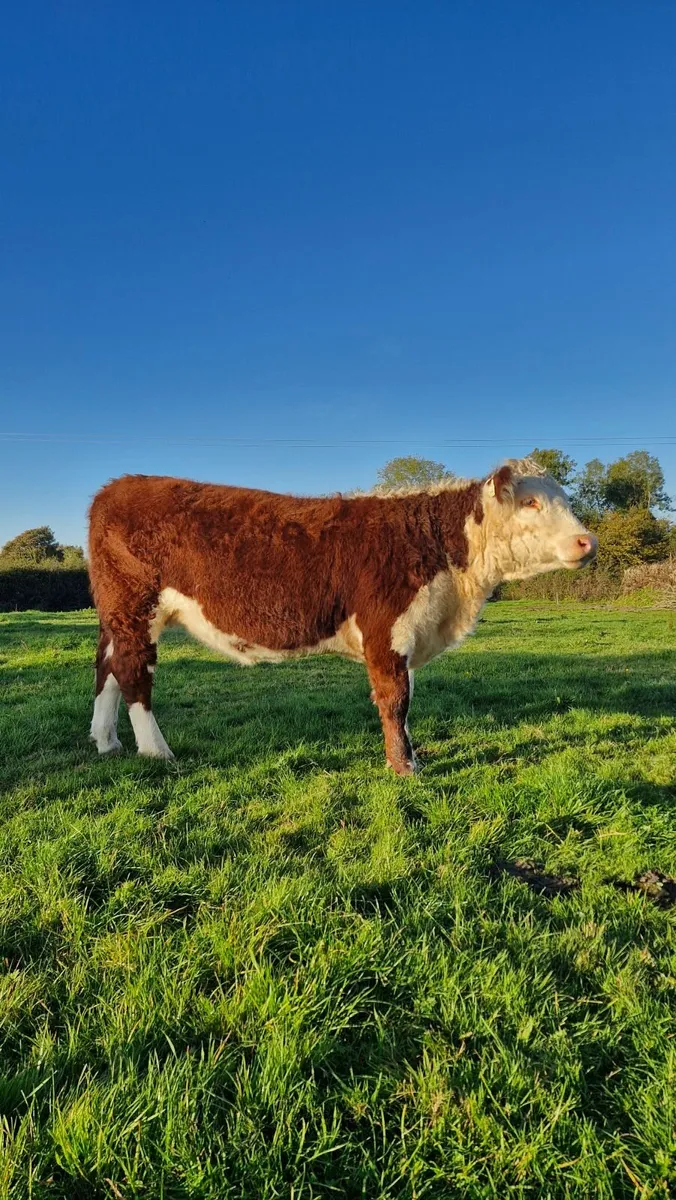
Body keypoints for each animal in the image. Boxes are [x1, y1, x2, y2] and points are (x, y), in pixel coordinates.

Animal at [87, 460, 597, 774]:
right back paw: (156, 750)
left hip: (116, 616)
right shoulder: (387, 628)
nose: (587, 541)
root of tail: (118, 485)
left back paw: (106, 741)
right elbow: (395, 700)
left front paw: (407, 755)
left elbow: (406, 700)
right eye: (530, 502)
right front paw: (405, 767)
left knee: (106, 667)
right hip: (136, 607)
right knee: (132, 672)